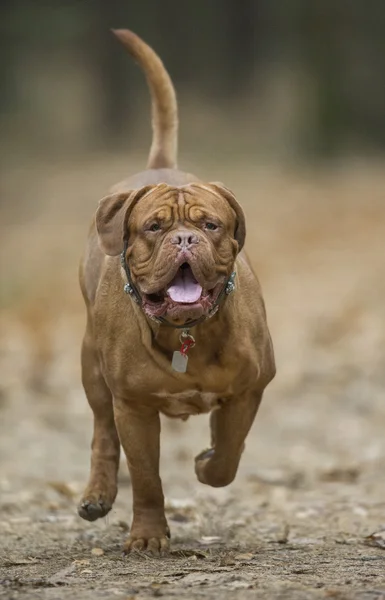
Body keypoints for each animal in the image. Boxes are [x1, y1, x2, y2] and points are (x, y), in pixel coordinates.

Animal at [78, 28, 274, 552]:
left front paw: (209, 463)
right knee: (102, 432)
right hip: (92, 367)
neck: (187, 332)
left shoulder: (251, 387)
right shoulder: (134, 407)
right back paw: (98, 494)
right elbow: (146, 476)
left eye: (210, 225)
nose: (184, 239)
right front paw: (148, 535)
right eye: (153, 227)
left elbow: (229, 451)